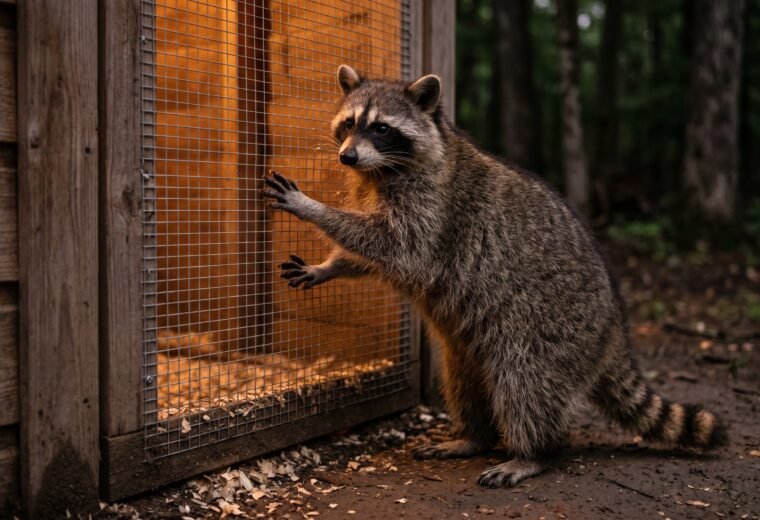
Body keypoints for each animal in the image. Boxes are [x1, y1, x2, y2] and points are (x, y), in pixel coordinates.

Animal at [262, 64, 727, 487]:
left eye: (382, 128)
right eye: (349, 123)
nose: (347, 157)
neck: (382, 170)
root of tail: (613, 322)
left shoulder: (433, 209)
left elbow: (393, 245)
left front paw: (314, 208)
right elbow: (370, 255)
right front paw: (331, 265)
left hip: (549, 329)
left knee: (525, 385)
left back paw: (533, 453)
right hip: (467, 346)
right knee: (463, 381)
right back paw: (474, 437)